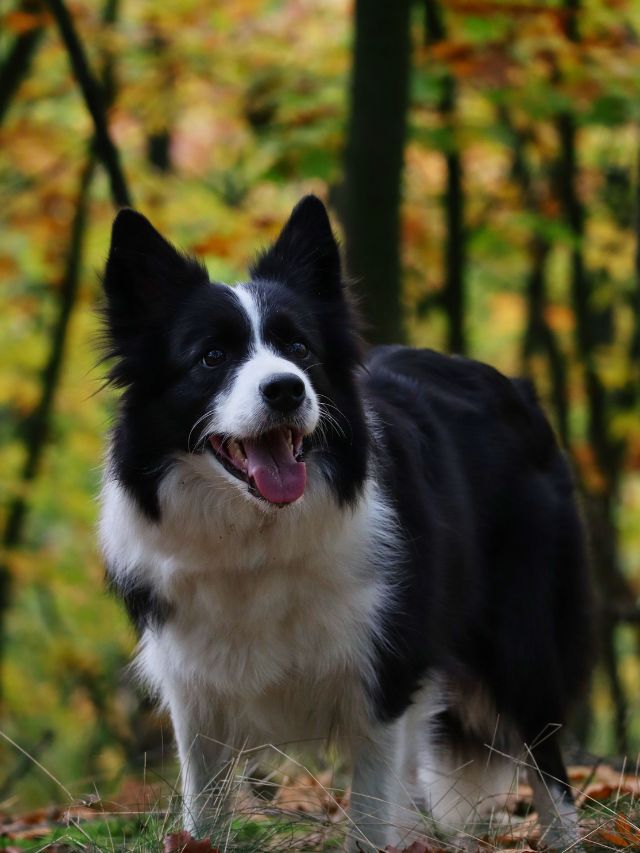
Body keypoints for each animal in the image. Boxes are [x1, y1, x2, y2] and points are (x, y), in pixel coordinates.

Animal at [97, 196, 592, 848]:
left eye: (301, 348)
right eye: (212, 357)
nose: (286, 389)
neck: (256, 536)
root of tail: (517, 387)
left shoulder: (382, 673)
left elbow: (371, 814)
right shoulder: (196, 689)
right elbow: (204, 810)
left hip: (523, 633)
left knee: (546, 762)